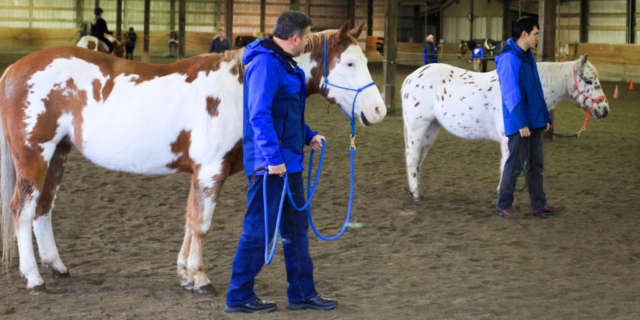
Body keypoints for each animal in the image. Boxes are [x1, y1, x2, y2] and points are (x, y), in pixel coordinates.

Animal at [0, 21, 384, 294]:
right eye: (350, 62)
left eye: (367, 62)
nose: (378, 111)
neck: (241, 87)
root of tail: (14, 70)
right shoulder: (211, 170)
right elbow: (201, 223)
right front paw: (199, 279)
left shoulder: (201, 172)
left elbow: (189, 221)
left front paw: (185, 274)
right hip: (35, 155)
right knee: (23, 209)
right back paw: (34, 278)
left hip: (58, 155)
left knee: (44, 209)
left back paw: (57, 267)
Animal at [404, 54, 608, 200]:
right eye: (588, 80)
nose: (604, 109)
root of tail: (410, 78)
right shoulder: (509, 140)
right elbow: (509, 170)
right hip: (418, 127)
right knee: (413, 157)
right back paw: (415, 193)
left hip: (431, 128)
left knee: (419, 158)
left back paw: (418, 190)